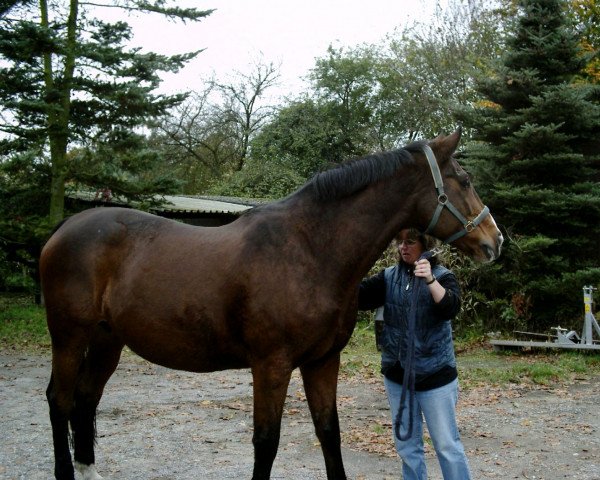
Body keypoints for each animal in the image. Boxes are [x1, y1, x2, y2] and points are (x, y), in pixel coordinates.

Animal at [39, 129, 504, 478]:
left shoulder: (323, 362)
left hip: (107, 341)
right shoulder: (271, 365)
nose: (494, 241)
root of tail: (65, 228)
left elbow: (329, 432)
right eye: (464, 180)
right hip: (68, 338)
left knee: (85, 399)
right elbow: (266, 441)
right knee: (60, 400)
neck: (309, 250)